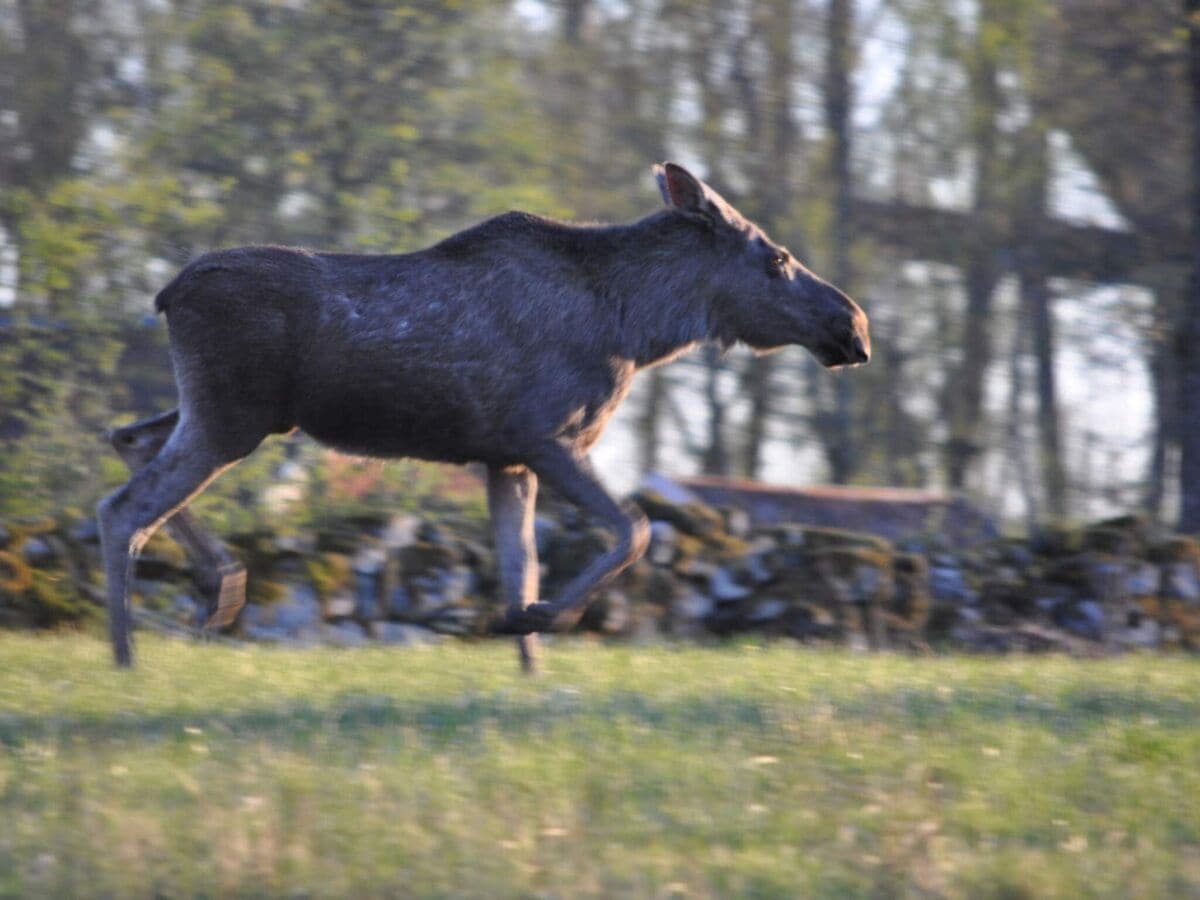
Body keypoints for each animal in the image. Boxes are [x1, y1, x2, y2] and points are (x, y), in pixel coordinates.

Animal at [100, 164, 873, 672]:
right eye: (777, 257)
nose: (854, 326)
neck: (639, 328)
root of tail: (166, 294)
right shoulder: (546, 437)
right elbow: (635, 529)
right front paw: (541, 619)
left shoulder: (505, 458)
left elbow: (519, 564)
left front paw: (527, 663)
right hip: (233, 415)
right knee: (122, 507)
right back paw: (130, 652)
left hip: (237, 414)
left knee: (127, 436)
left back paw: (219, 589)